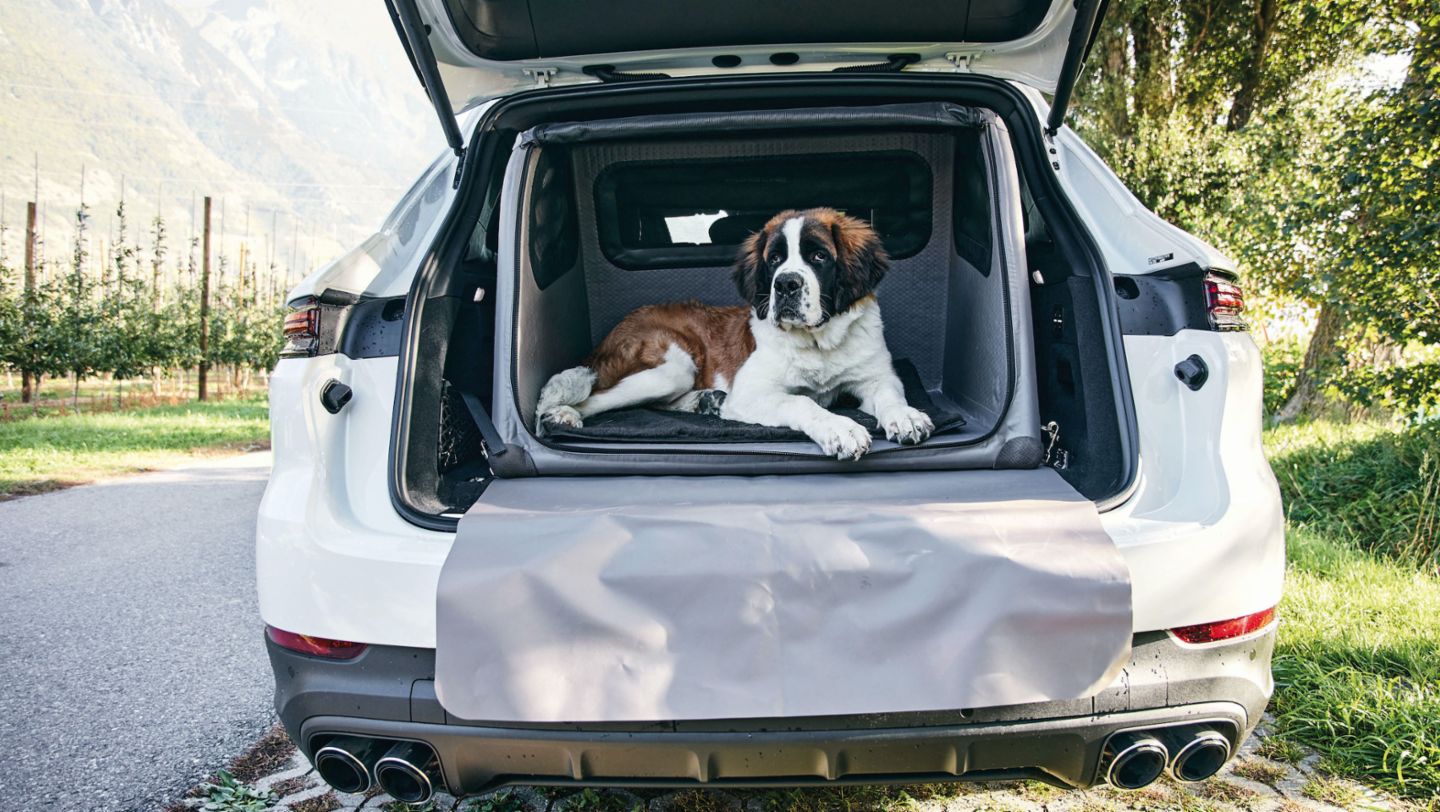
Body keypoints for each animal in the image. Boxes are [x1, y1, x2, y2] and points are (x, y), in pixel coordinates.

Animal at [538, 208, 933, 460]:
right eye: (774, 260)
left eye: (819, 256)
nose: (785, 285)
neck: (818, 342)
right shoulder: (752, 392)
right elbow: (802, 402)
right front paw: (840, 428)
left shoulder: (874, 376)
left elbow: (889, 394)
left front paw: (906, 416)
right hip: (671, 365)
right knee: (600, 396)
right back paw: (563, 414)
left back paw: (705, 402)